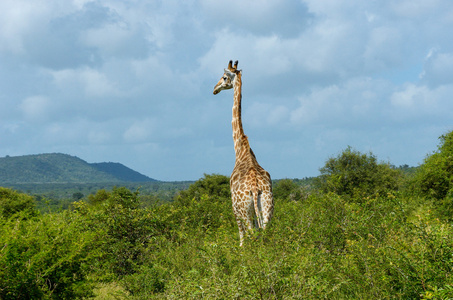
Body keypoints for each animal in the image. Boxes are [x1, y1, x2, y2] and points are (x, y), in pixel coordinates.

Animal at [212, 61, 272, 246]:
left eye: (224, 77)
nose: (215, 88)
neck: (241, 150)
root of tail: (255, 187)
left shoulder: (234, 206)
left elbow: (241, 237)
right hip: (267, 206)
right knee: (265, 232)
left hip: (245, 209)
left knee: (251, 233)